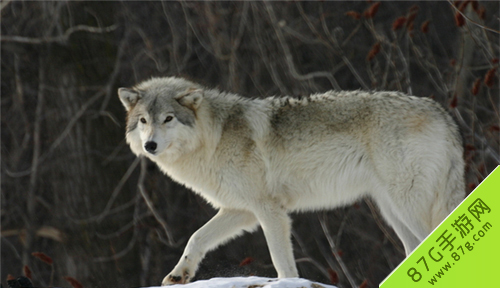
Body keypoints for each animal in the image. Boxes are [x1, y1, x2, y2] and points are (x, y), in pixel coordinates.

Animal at [117, 77, 464, 286]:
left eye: (168, 119)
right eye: (143, 121)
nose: (150, 145)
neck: (213, 138)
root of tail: (442, 113)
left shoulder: (269, 210)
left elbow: (281, 261)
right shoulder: (241, 211)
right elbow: (196, 238)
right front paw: (180, 274)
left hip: (406, 205)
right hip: (392, 211)